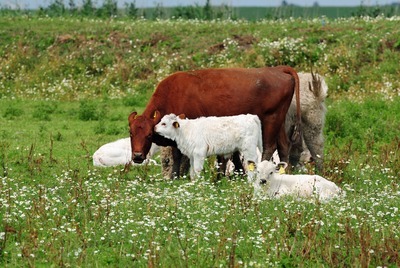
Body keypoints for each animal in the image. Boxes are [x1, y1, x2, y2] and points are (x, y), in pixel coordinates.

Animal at [128, 65, 300, 178]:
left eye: (149, 134)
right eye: (131, 133)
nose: (137, 156)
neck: (173, 94)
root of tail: (277, 69)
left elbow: (178, 154)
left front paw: (175, 176)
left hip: (270, 120)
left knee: (269, 147)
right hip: (279, 122)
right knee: (284, 146)